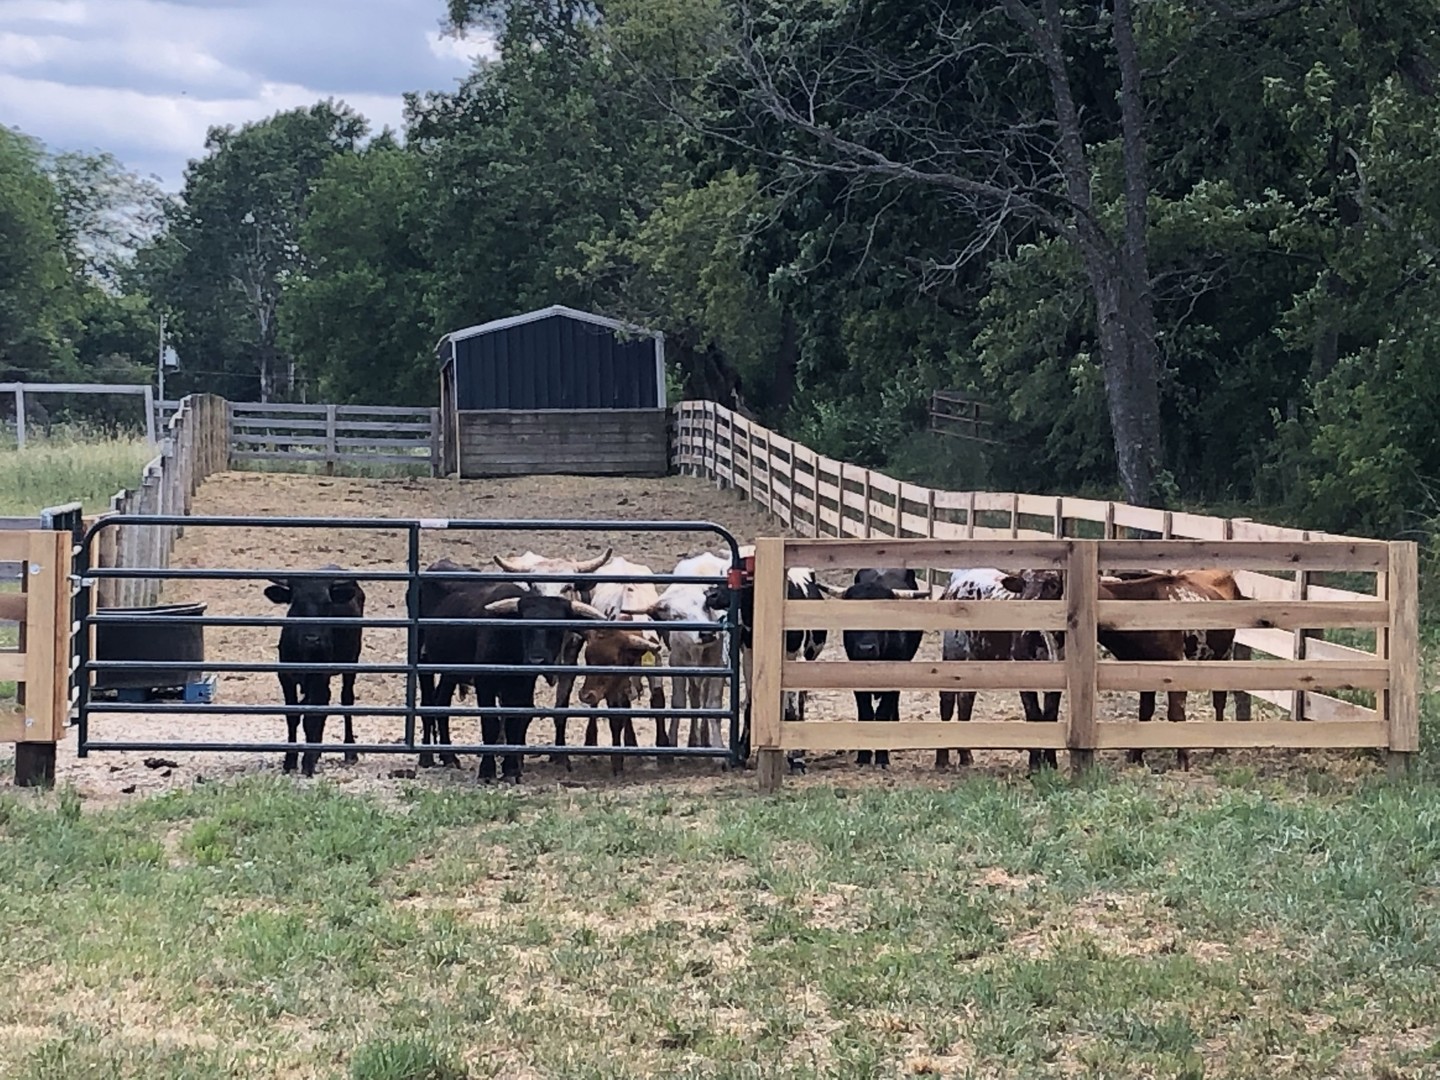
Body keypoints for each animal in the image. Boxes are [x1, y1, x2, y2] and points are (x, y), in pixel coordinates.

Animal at [264, 566, 365, 778]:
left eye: (326, 603)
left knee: (345, 699)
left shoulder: (318, 676)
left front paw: (307, 763)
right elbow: (293, 717)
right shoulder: (285, 677)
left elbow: (311, 718)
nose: (312, 638)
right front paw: (290, 761)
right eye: (296, 603)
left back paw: (349, 751)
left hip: (351, 662)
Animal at [418, 567, 608, 783]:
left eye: (557, 628)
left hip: (449, 671)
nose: (537, 660)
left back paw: (448, 756)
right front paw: (487, 771)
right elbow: (491, 725)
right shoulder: (485, 683)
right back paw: (426, 757)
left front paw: (511, 770)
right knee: (427, 703)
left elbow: (514, 723)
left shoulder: (522, 686)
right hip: (423, 661)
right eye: (524, 626)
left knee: (441, 703)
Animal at [576, 627, 664, 774]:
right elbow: (616, 721)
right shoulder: (613, 690)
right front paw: (617, 761)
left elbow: (658, 703)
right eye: (587, 658)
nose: (585, 695)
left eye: (612, 660)